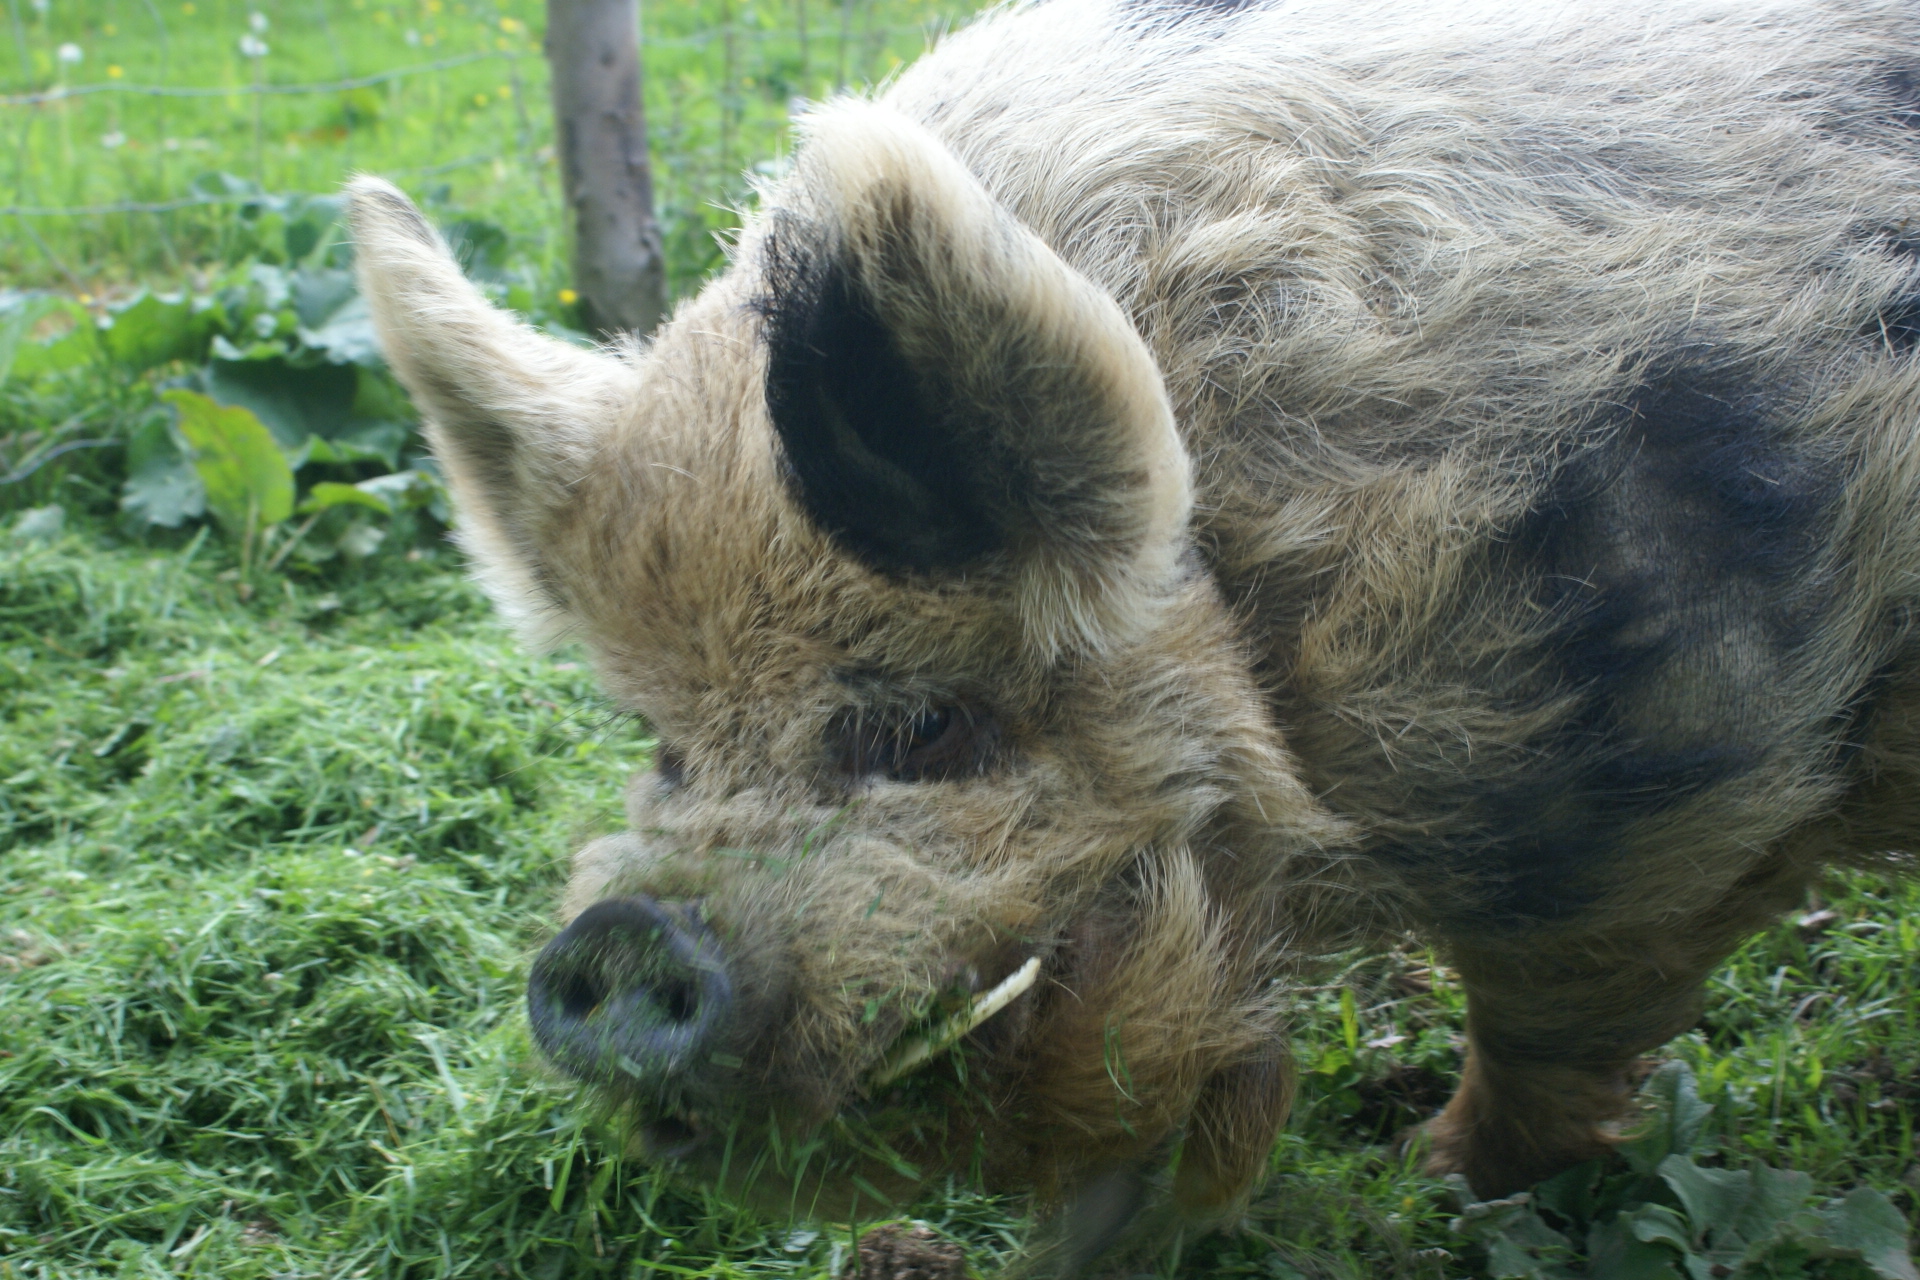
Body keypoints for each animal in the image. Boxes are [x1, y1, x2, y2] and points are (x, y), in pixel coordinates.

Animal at [353, 0, 1920, 1274]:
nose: (618, 936)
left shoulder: (1650, 814)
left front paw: (1435, 1181)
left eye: (924, 722)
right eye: (664, 747)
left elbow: (1548, 1042)